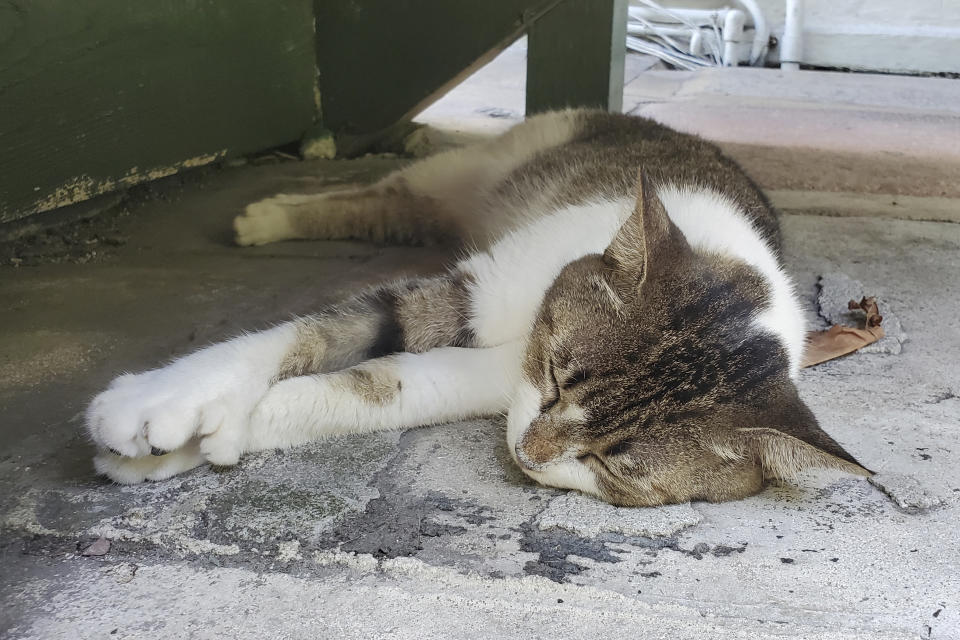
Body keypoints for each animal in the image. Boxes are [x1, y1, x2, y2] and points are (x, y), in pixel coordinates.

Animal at [86, 109, 872, 504]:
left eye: (611, 466)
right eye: (556, 378)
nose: (527, 454)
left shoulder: (490, 382)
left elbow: (378, 387)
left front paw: (201, 443)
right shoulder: (480, 290)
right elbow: (317, 332)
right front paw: (168, 398)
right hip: (466, 165)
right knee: (382, 194)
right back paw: (273, 216)